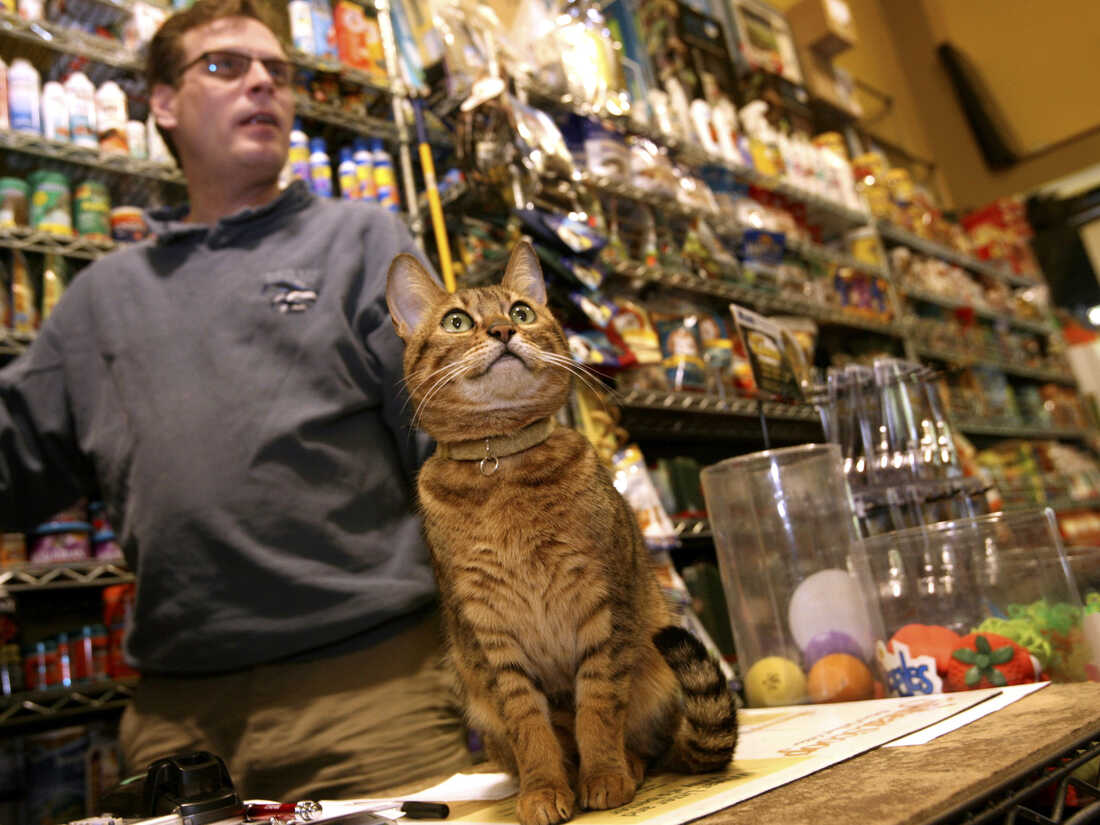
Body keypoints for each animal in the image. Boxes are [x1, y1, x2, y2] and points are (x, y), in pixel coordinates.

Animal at [387, 242, 739, 822]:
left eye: (522, 311)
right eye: (457, 321)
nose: (503, 330)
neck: (501, 467)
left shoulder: (602, 606)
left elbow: (597, 708)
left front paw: (604, 777)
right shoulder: (491, 635)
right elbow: (532, 729)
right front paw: (544, 790)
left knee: (648, 745)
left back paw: (628, 767)